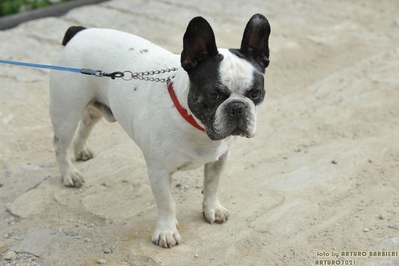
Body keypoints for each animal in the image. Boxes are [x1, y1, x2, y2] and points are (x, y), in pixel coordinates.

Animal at [48, 14, 270, 247]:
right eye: (214, 95)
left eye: (255, 93)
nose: (237, 107)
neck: (197, 126)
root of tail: (79, 32)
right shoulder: (159, 172)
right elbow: (167, 202)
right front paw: (166, 231)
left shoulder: (219, 159)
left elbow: (212, 185)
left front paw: (212, 209)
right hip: (66, 113)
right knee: (60, 146)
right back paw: (69, 174)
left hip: (95, 106)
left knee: (87, 122)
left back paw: (81, 150)